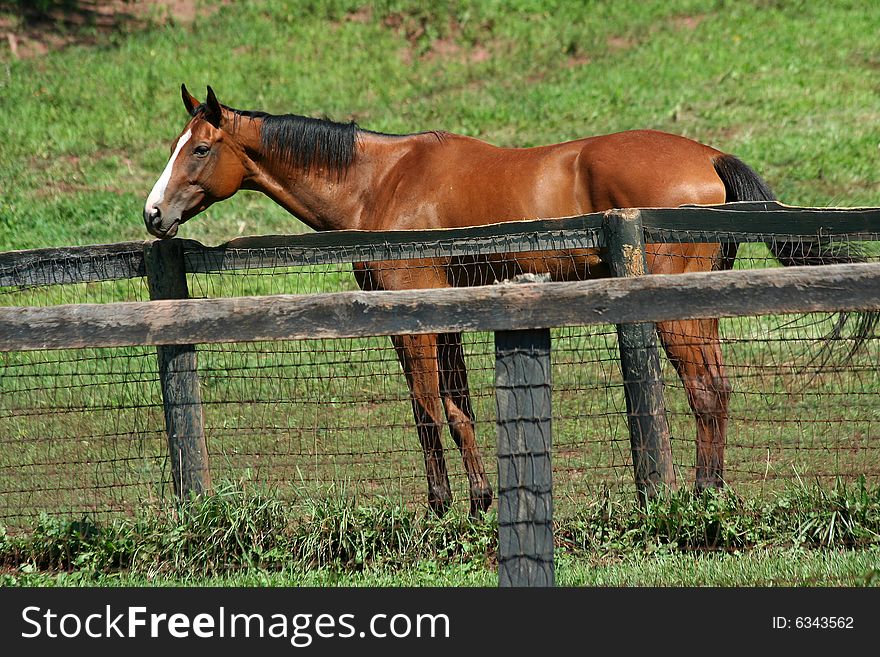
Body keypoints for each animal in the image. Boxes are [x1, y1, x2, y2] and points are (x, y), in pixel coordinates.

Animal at [146, 86, 868, 516]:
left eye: (200, 148)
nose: (153, 215)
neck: (382, 180)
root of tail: (710, 155)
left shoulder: (412, 321)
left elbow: (428, 412)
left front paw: (444, 506)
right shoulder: (450, 319)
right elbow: (459, 410)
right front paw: (478, 497)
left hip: (675, 314)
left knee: (705, 391)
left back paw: (697, 497)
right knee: (716, 389)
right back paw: (711, 494)